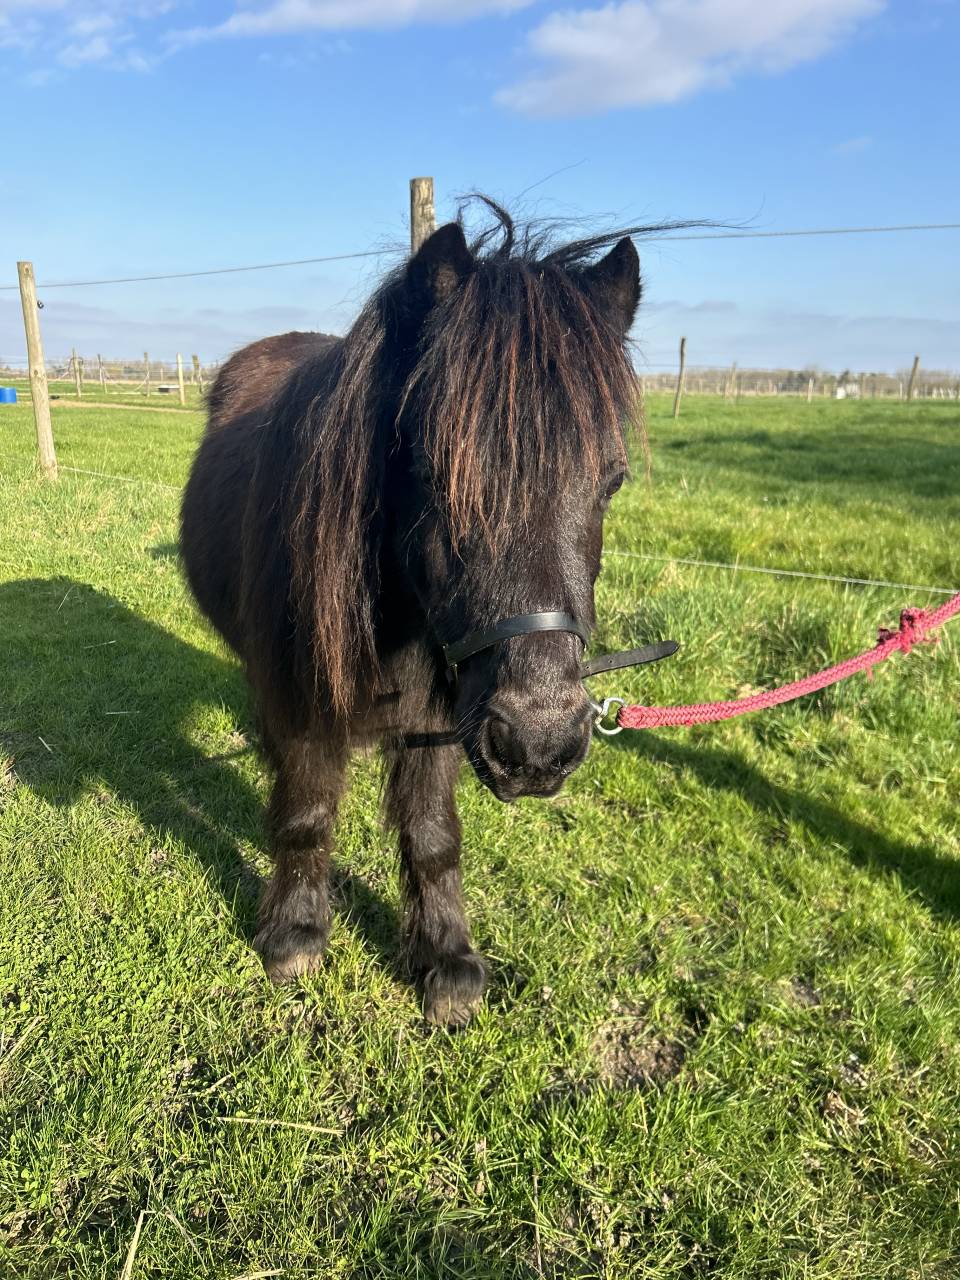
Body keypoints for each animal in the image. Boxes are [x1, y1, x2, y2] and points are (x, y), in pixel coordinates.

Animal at [180, 204, 648, 1025]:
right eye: (430, 471)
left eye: (612, 480)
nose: (540, 746)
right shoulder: (302, 699)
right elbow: (305, 810)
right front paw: (296, 933)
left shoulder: (443, 713)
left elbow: (433, 834)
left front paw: (447, 961)